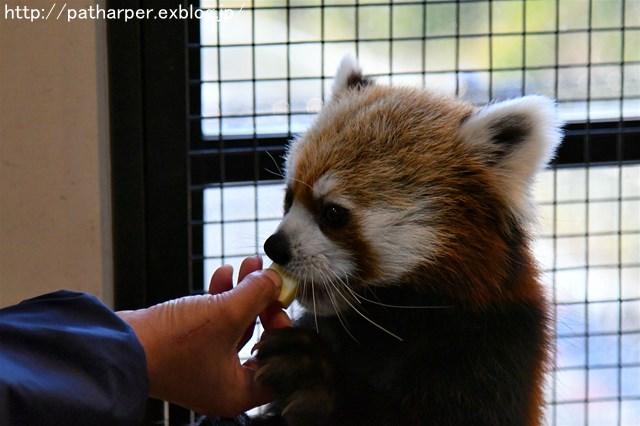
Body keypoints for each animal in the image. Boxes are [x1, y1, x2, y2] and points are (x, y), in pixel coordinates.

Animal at [252, 57, 564, 426]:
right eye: (288, 199)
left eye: (333, 214)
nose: (275, 247)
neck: (389, 324)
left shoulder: (498, 345)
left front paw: (315, 375)